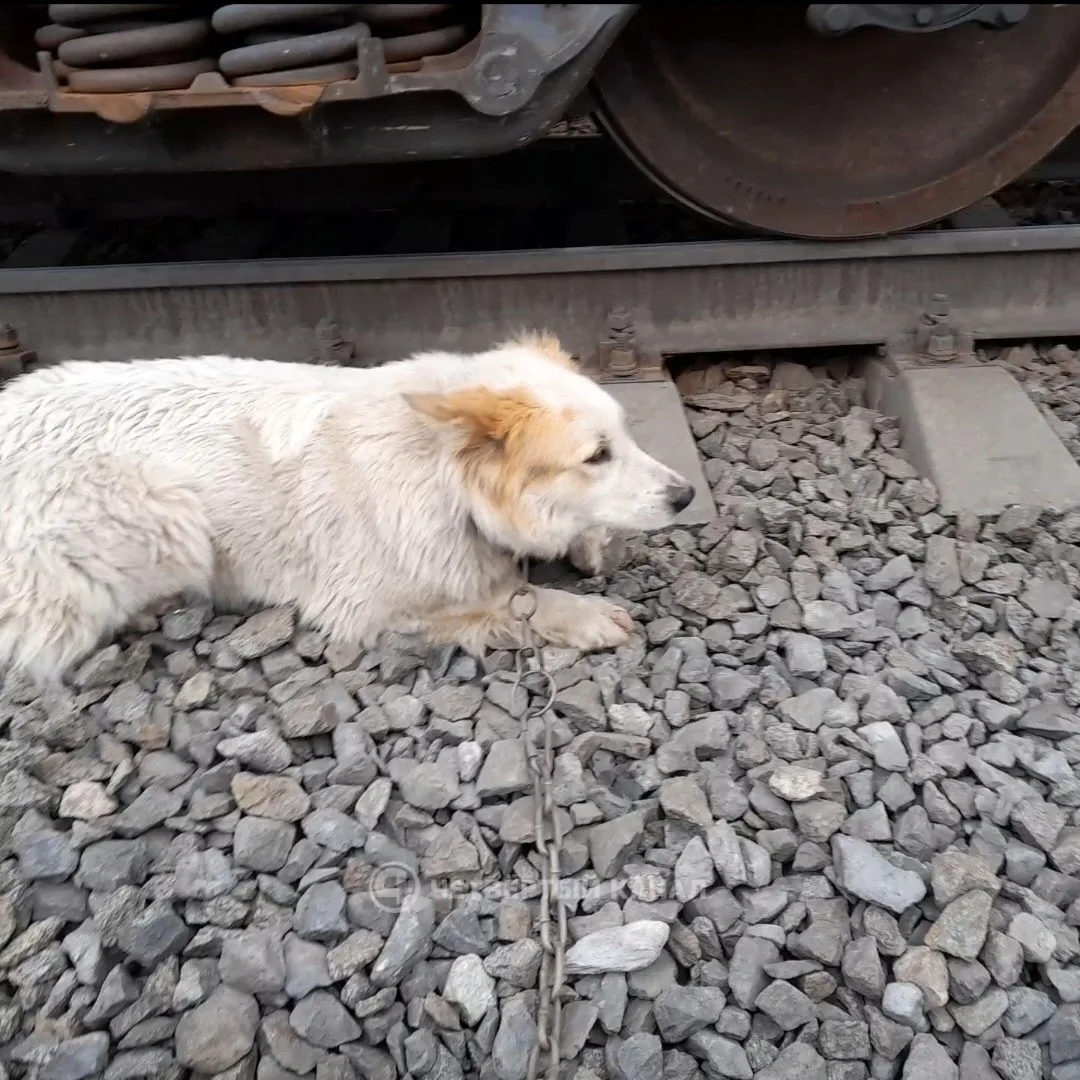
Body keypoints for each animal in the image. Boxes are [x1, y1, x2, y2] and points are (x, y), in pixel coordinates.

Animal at [0, 332, 694, 687]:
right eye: (596, 455)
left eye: (625, 436)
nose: (686, 495)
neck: (444, 478)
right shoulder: (370, 603)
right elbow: (506, 601)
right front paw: (582, 614)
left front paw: (590, 543)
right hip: (165, 512)